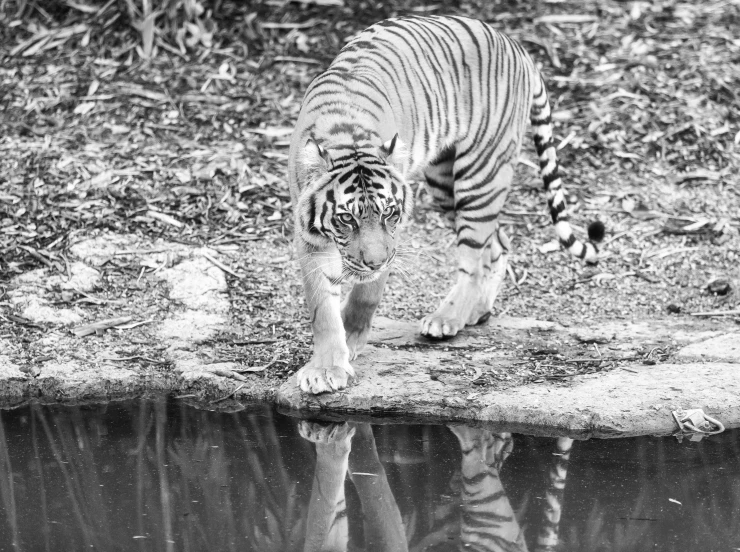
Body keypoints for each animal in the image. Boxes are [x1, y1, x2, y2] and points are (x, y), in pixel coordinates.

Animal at [286, 12, 604, 392]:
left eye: (389, 213)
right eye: (346, 219)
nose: (375, 262)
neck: (346, 136)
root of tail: (516, 46)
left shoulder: (393, 236)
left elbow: (367, 294)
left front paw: (350, 340)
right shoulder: (309, 239)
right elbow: (321, 308)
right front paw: (327, 367)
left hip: (480, 174)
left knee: (473, 257)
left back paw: (448, 317)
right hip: (443, 181)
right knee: (498, 242)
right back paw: (476, 310)